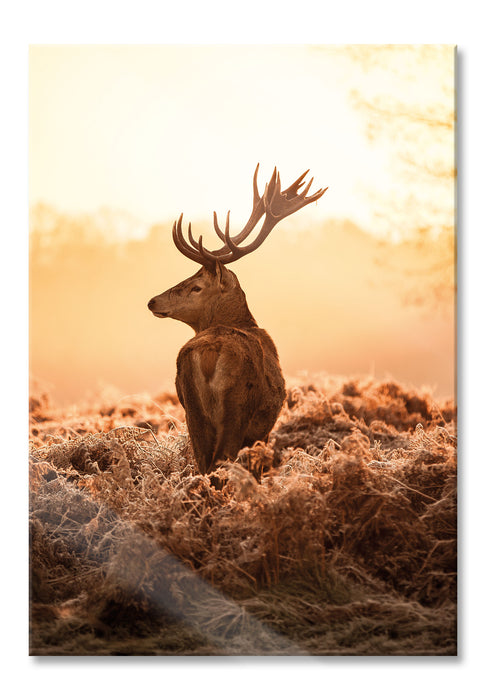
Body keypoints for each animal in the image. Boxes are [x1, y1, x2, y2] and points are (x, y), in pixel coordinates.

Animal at [148, 164, 327, 476]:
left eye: (196, 286)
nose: (153, 301)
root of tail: (209, 353)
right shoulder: (262, 430)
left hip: (192, 410)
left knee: (204, 464)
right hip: (237, 409)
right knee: (221, 463)